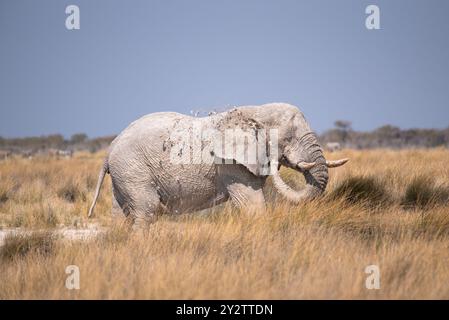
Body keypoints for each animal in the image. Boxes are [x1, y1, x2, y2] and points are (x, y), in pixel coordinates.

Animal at [86, 102, 346, 228]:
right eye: (289, 137)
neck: (255, 111)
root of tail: (110, 149)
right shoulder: (231, 165)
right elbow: (253, 206)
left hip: (124, 173)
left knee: (120, 214)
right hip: (134, 169)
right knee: (145, 211)